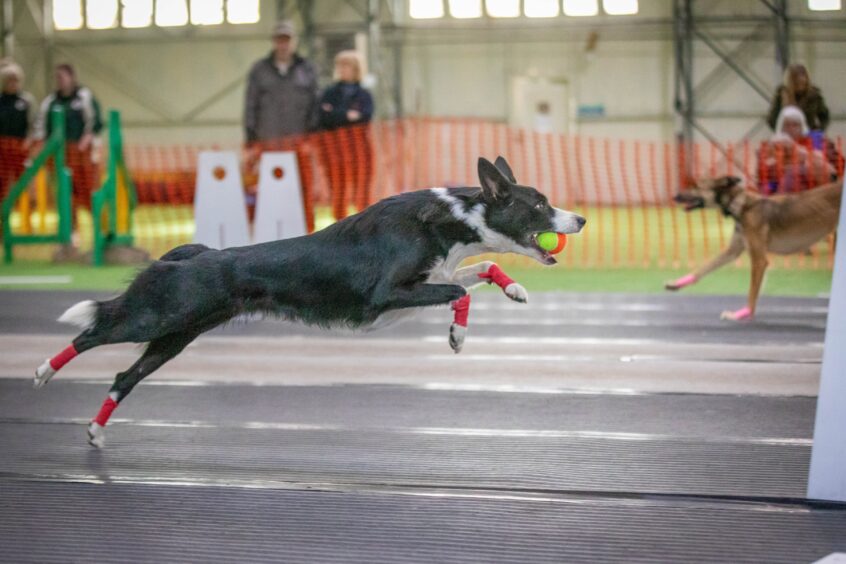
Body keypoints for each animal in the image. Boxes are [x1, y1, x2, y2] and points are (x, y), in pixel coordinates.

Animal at [34, 156, 588, 448]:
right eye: (539, 204)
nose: (580, 219)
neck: (451, 219)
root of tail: (193, 253)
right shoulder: (387, 296)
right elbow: (457, 290)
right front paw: (458, 334)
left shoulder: (418, 290)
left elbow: (477, 272)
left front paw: (512, 288)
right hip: (159, 316)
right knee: (97, 327)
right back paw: (42, 371)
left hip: (177, 335)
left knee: (124, 374)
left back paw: (95, 430)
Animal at [668, 174, 840, 320]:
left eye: (696, 186)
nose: (675, 196)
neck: (740, 205)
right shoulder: (733, 251)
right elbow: (704, 268)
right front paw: (676, 283)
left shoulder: (759, 260)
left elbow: (752, 292)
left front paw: (742, 314)